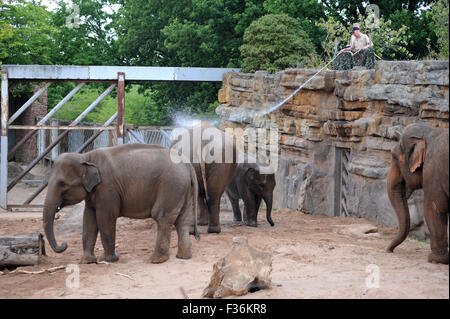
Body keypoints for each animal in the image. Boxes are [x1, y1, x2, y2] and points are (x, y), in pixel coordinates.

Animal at [42, 144, 199, 264]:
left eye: (62, 184)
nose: (64, 245)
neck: (86, 157)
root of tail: (188, 165)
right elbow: (89, 219)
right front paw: (87, 261)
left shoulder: (107, 188)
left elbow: (105, 218)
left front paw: (111, 259)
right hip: (183, 189)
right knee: (182, 221)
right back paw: (183, 257)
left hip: (171, 186)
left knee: (162, 217)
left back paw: (156, 260)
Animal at [384, 122, 448, 264]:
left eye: (394, 156)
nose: (388, 250)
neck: (430, 131)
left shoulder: (432, 172)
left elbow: (433, 209)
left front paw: (435, 260)